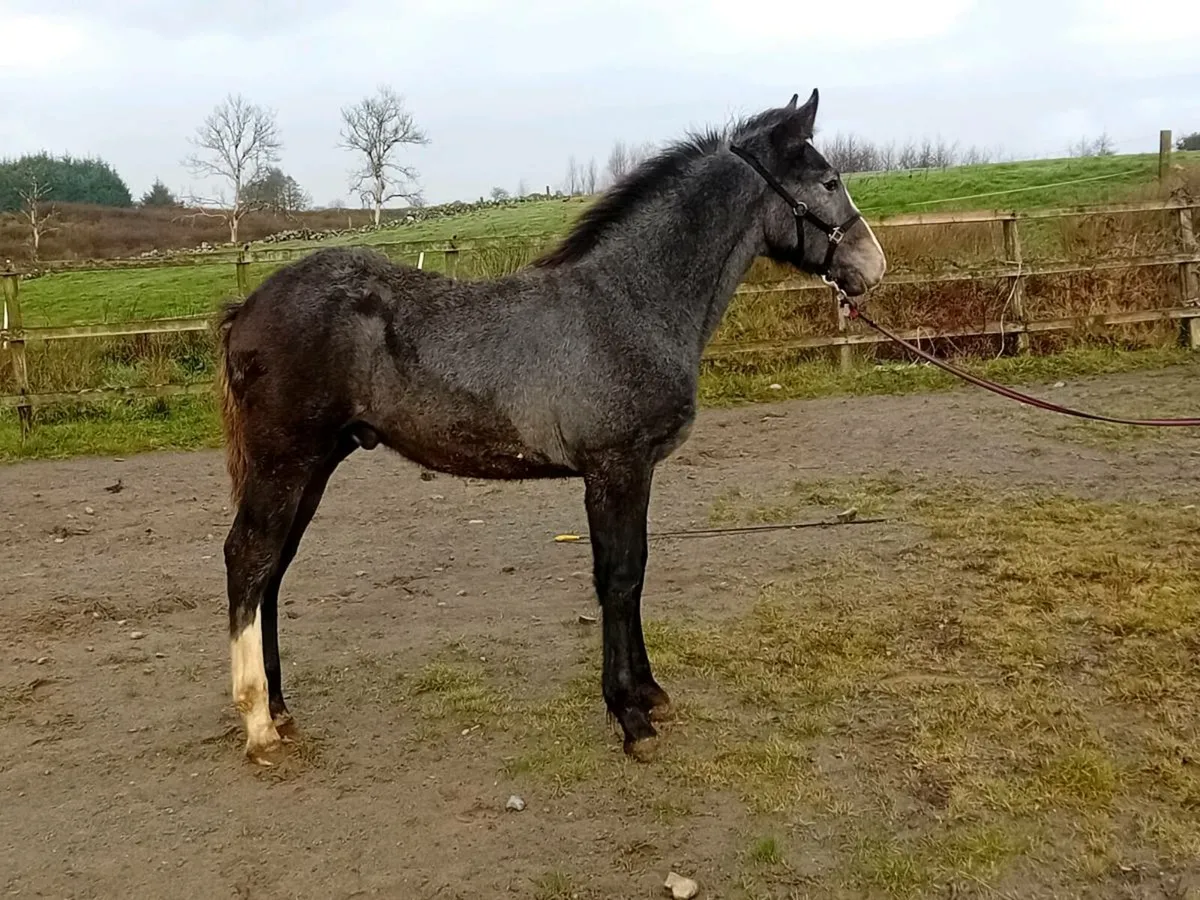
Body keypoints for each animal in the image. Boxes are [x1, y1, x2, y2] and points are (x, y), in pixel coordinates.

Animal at [215, 88, 887, 767]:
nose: (872, 267)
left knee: (274, 568)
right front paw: (630, 717)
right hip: (285, 460)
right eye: (828, 181)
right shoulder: (616, 467)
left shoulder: (631, 472)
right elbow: (619, 578)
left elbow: (633, 572)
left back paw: (281, 709)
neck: (629, 303)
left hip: (316, 463)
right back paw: (258, 723)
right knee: (249, 558)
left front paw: (649, 695)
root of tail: (248, 305)